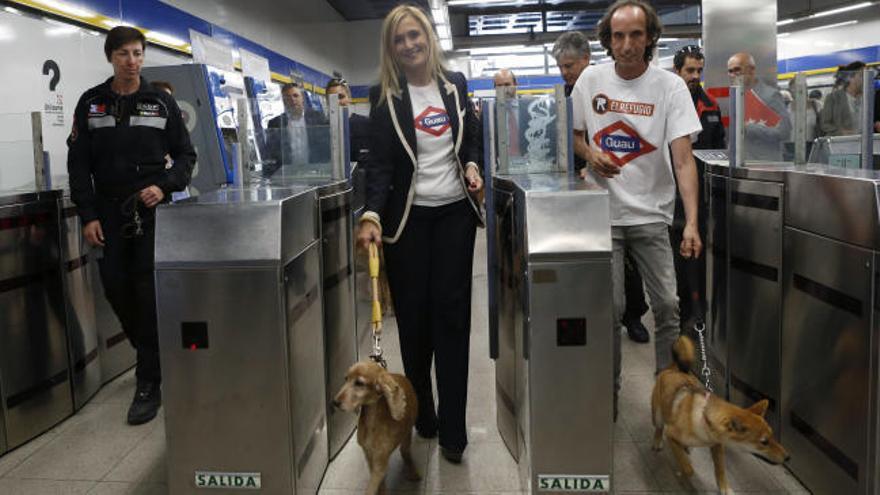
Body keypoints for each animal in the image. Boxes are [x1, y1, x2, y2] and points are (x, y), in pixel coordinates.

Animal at [336, 360, 422, 495]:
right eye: (346, 379)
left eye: (359, 383)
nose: (334, 402)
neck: (372, 421)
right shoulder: (368, 454)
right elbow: (380, 483)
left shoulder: (381, 459)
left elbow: (373, 486)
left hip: (407, 433)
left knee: (405, 451)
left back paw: (412, 471)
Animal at [652, 338, 792, 495]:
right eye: (764, 442)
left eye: (773, 436)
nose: (788, 457)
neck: (703, 419)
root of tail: (675, 369)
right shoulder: (671, 434)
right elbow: (688, 468)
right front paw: (683, 470)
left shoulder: (717, 445)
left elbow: (720, 469)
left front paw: (724, 487)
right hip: (657, 414)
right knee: (659, 427)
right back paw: (658, 441)